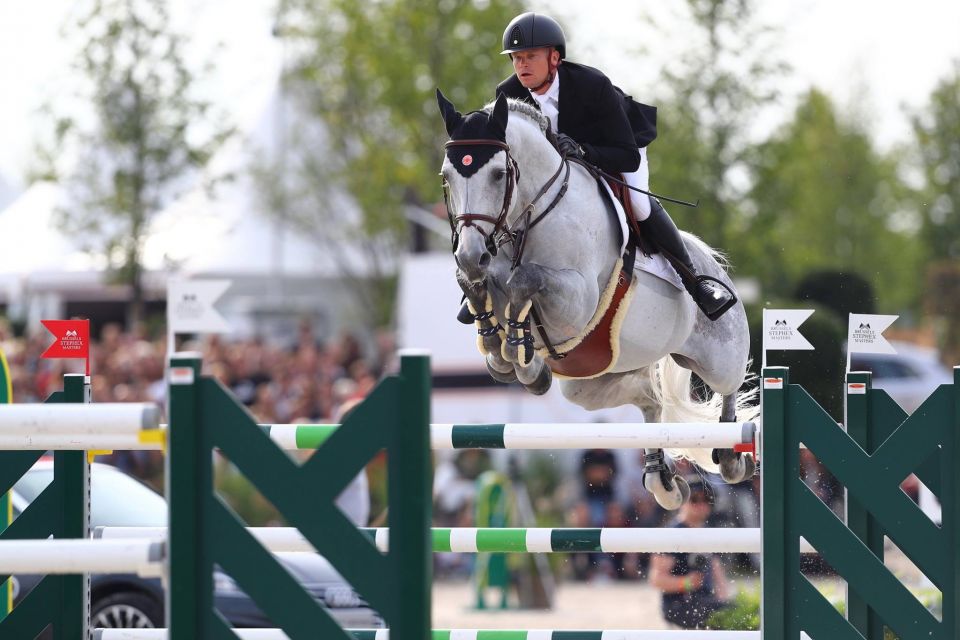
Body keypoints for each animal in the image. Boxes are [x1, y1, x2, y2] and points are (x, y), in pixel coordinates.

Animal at [436, 91, 756, 510]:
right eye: (446, 176)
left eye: (498, 174)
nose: (471, 255)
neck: (530, 215)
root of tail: (709, 262)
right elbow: (485, 290)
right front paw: (504, 353)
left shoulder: (577, 301)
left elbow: (526, 278)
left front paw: (518, 357)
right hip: (591, 381)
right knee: (649, 399)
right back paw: (663, 480)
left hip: (719, 355)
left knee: (729, 385)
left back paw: (732, 456)